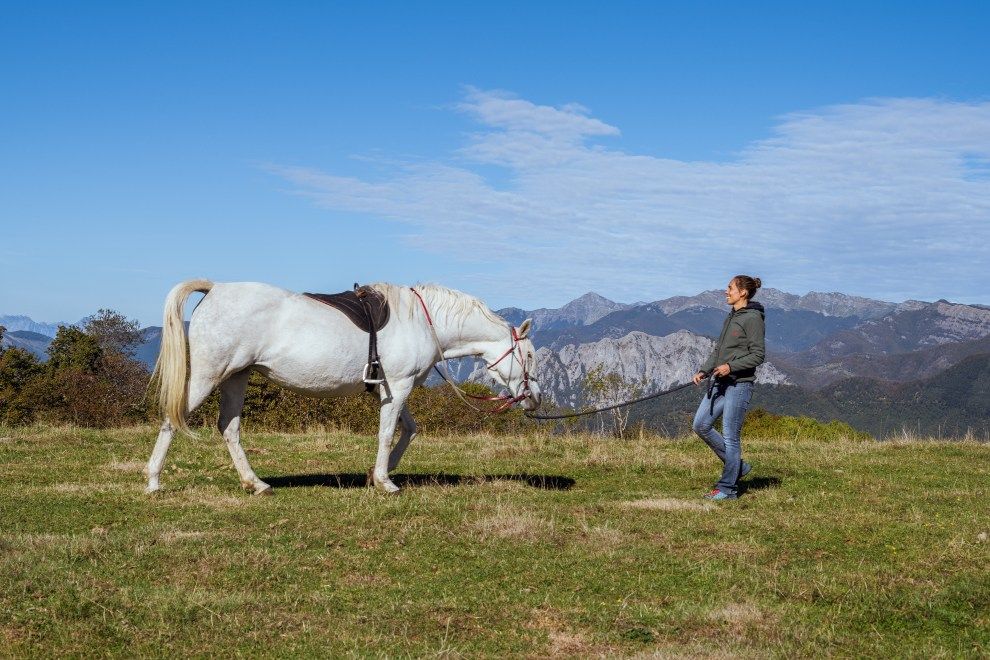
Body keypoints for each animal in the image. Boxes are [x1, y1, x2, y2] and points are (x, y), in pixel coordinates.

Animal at [145, 278, 544, 496]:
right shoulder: (399, 386)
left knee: (229, 428)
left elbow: (409, 430)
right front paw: (385, 481)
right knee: (173, 418)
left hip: (236, 377)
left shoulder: (395, 388)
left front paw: (377, 473)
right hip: (209, 375)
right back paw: (153, 481)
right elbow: (387, 433)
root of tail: (215, 289)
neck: (422, 321)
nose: (536, 399)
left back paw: (255, 483)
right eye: (529, 356)